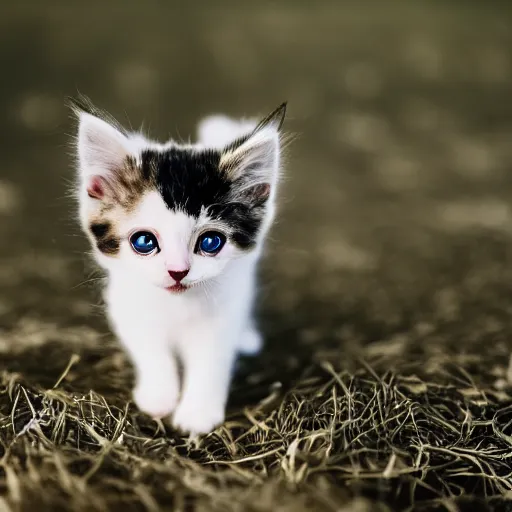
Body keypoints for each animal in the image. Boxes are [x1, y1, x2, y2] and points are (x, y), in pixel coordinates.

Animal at [71, 99, 288, 436]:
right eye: (144, 241)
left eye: (211, 242)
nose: (178, 271)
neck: (177, 305)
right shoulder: (126, 305)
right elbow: (151, 351)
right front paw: (159, 396)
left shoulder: (223, 311)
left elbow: (211, 359)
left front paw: (198, 412)